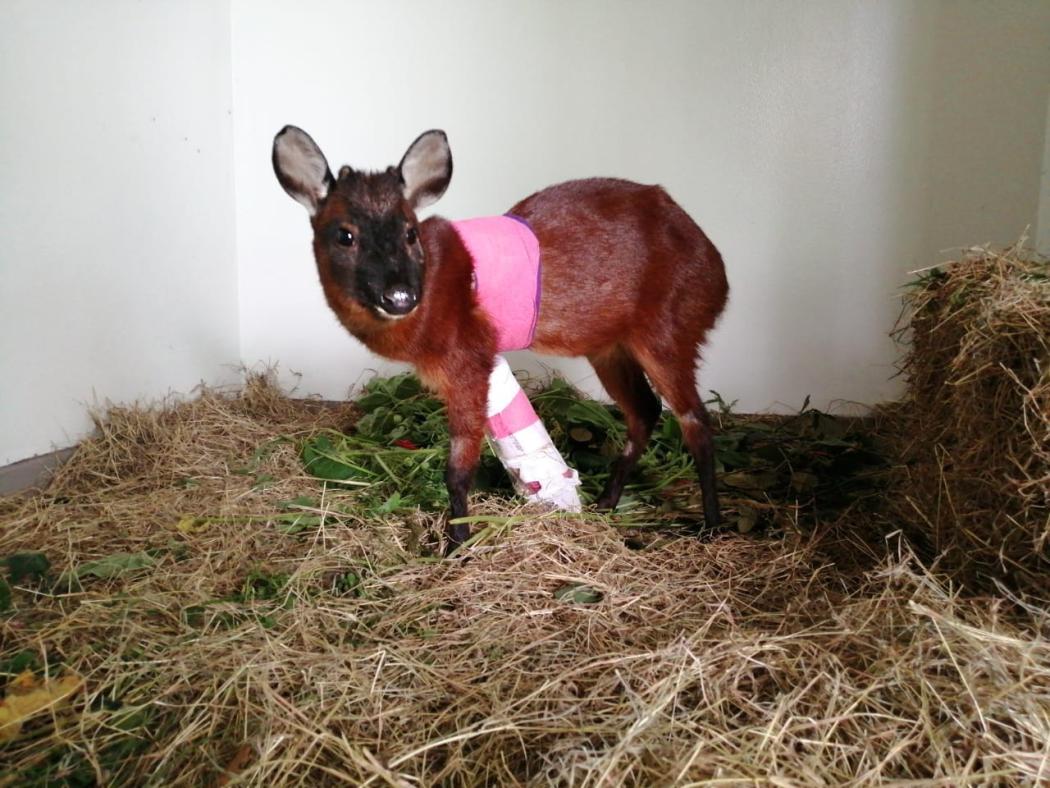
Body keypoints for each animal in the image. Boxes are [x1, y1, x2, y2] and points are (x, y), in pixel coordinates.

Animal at [273, 126, 730, 554]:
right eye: (344, 235)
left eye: (410, 232)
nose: (400, 296)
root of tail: (719, 274)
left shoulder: (470, 359)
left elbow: (458, 470)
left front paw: (456, 546)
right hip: (610, 346)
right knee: (645, 411)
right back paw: (605, 504)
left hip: (668, 329)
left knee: (695, 420)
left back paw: (711, 525)